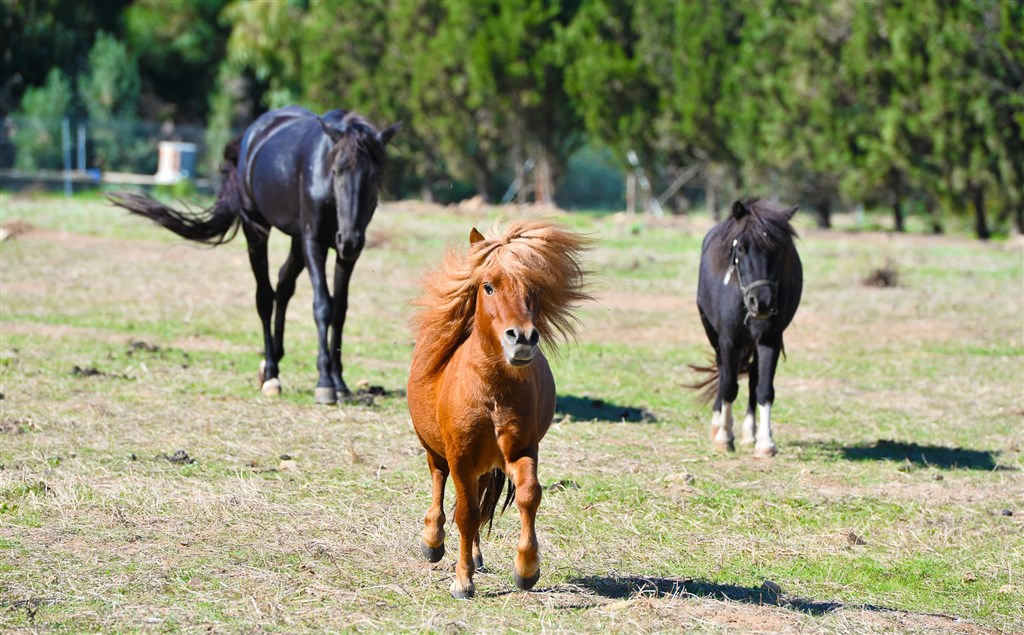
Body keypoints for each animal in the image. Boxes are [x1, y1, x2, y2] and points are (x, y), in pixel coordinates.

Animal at [112, 103, 399, 401]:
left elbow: (340, 311)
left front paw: (340, 382)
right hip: (257, 228)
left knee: (283, 285)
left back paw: (274, 362)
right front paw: (324, 382)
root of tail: (255, 131)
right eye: (337, 172)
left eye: (374, 176)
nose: (350, 238)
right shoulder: (314, 242)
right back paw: (271, 374)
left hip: (299, 239)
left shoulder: (347, 253)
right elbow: (322, 305)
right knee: (265, 296)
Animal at [403, 221, 589, 598]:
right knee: (440, 481)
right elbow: (466, 514)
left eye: (535, 289)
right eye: (488, 286)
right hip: (437, 449)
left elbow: (529, 496)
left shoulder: (522, 449)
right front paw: (462, 580)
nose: (523, 338)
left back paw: (475, 555)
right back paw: (433, 541)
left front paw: (527, 569)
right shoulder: (460, 455)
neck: (492, 392)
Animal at [692, 198, 802, 456]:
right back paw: (718, 425)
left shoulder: (770, 340)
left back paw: (749, 434)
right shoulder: (728, 340)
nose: (761, 302)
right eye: (741, 248)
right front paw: (723, 437)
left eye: (779, 250)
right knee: (723, 373)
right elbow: (729, 386)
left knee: (752, 379)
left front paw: (765, 442)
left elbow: (763, 389)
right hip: (714, 335)